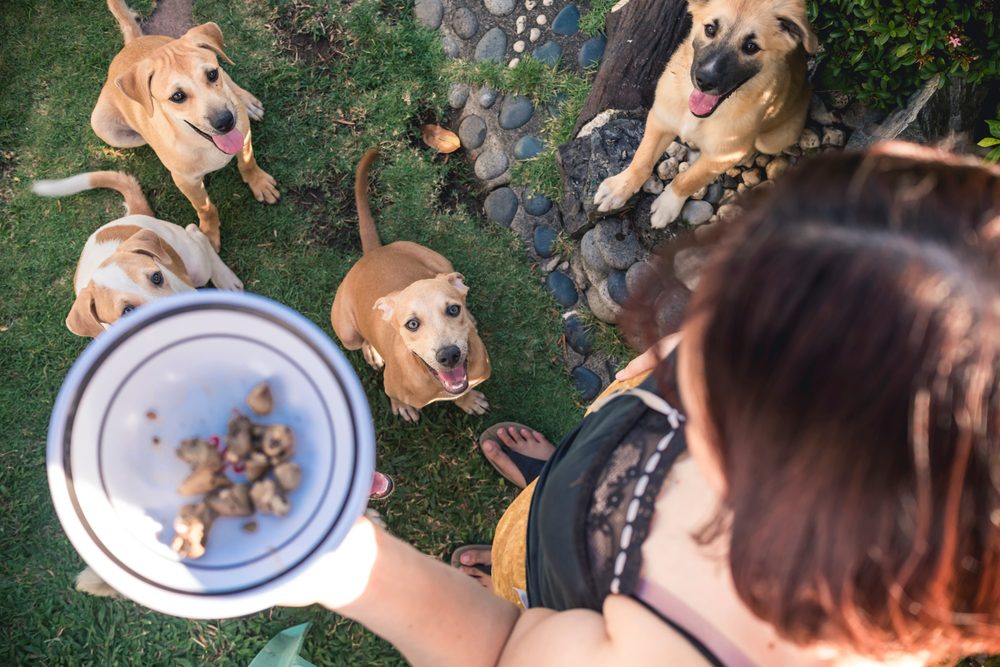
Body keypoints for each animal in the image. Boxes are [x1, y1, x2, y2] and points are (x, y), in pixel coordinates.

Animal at [32, 171, 243, 336]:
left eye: (157, 277)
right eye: (127, 311)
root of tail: (130, 216)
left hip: (196, 264)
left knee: (196, 232)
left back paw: (226, 280)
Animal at [92, 0, 280, 250]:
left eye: (212, 74)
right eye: (178, 96)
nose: (225, 121)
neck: (204, 143)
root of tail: (132, 43)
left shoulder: (244, 135)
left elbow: (248, 162)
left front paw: (259, 182)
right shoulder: (185, 181)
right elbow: (205, 207)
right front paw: (208, 234)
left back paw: (247, 102)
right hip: (103, 127)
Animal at [332, 152, 492, 422]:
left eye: (453, 309)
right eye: (412, 324)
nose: (449, 355)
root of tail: (373, 252)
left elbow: (461, 393)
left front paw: (468, 400)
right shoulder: (393, 386)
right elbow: (396, 396)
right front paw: (403, 407)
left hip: (440, 260)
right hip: (347, 333)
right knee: (359, 340)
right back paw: (372, 352)